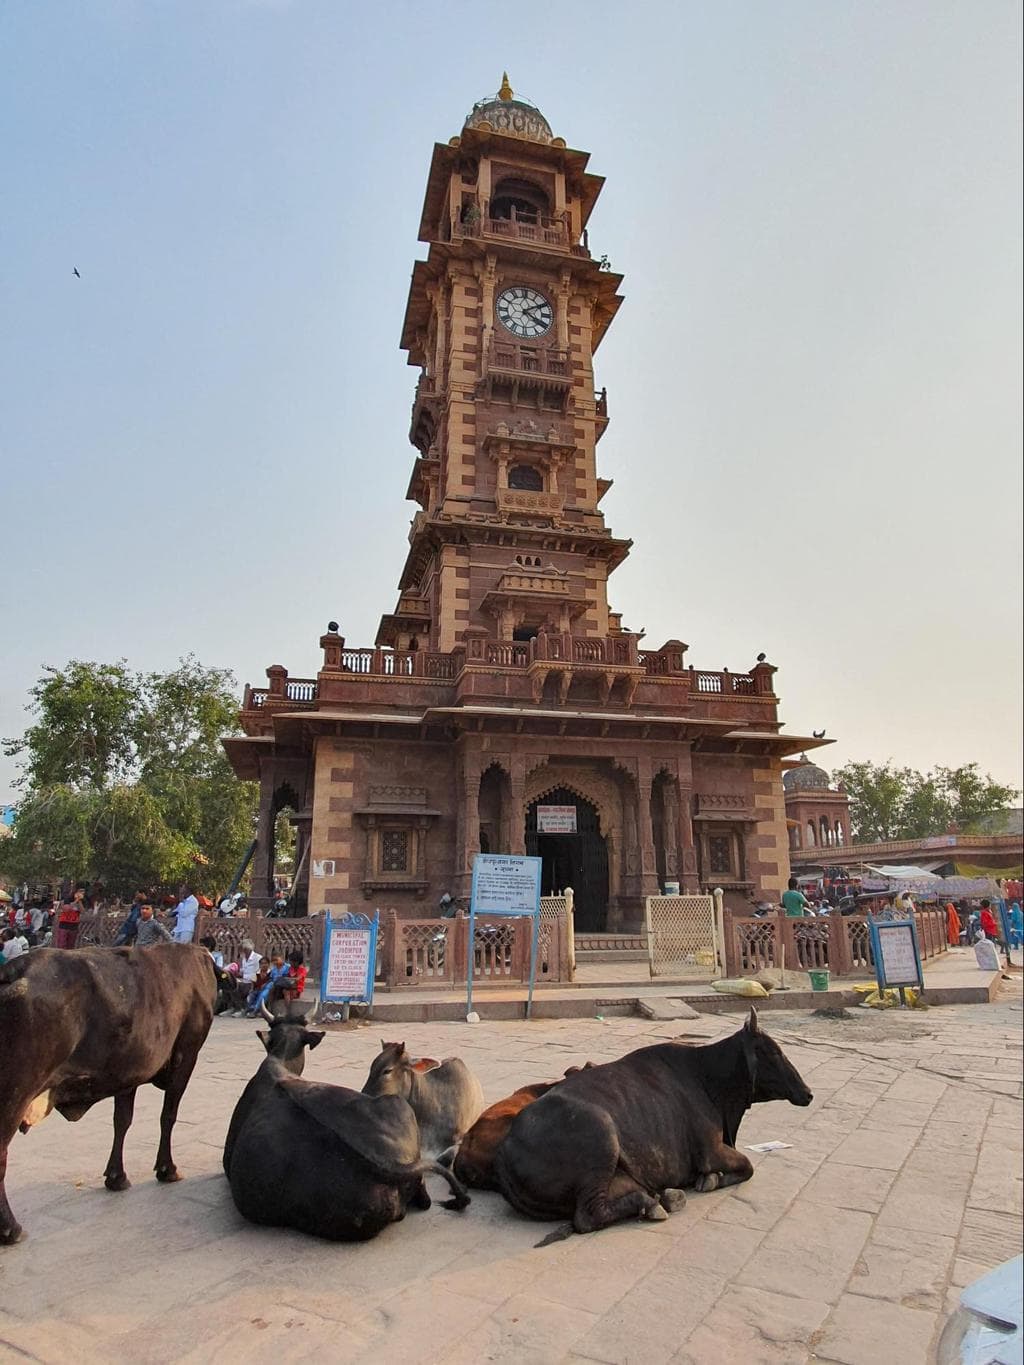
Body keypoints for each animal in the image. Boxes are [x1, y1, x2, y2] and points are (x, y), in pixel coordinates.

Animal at [0, 944, 217, 1244]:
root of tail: (13, 972)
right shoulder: (186, 1055)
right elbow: (168, 1116)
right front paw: (167, 1168)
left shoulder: (129, 1072)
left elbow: (122, 1121)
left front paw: (116, 1176)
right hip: (16, 1091)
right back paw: (10, 1229)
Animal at [496, 1010, 819, 1244]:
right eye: (773, 1052)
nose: (808, 1092)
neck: (710, 1079)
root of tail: (506, 1149)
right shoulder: (710, 1150)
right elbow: (748, 1166)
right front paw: (711, 1179)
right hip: (602, 1137)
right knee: (588, 1216)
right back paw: (654, 1204)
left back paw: (664, 1197)